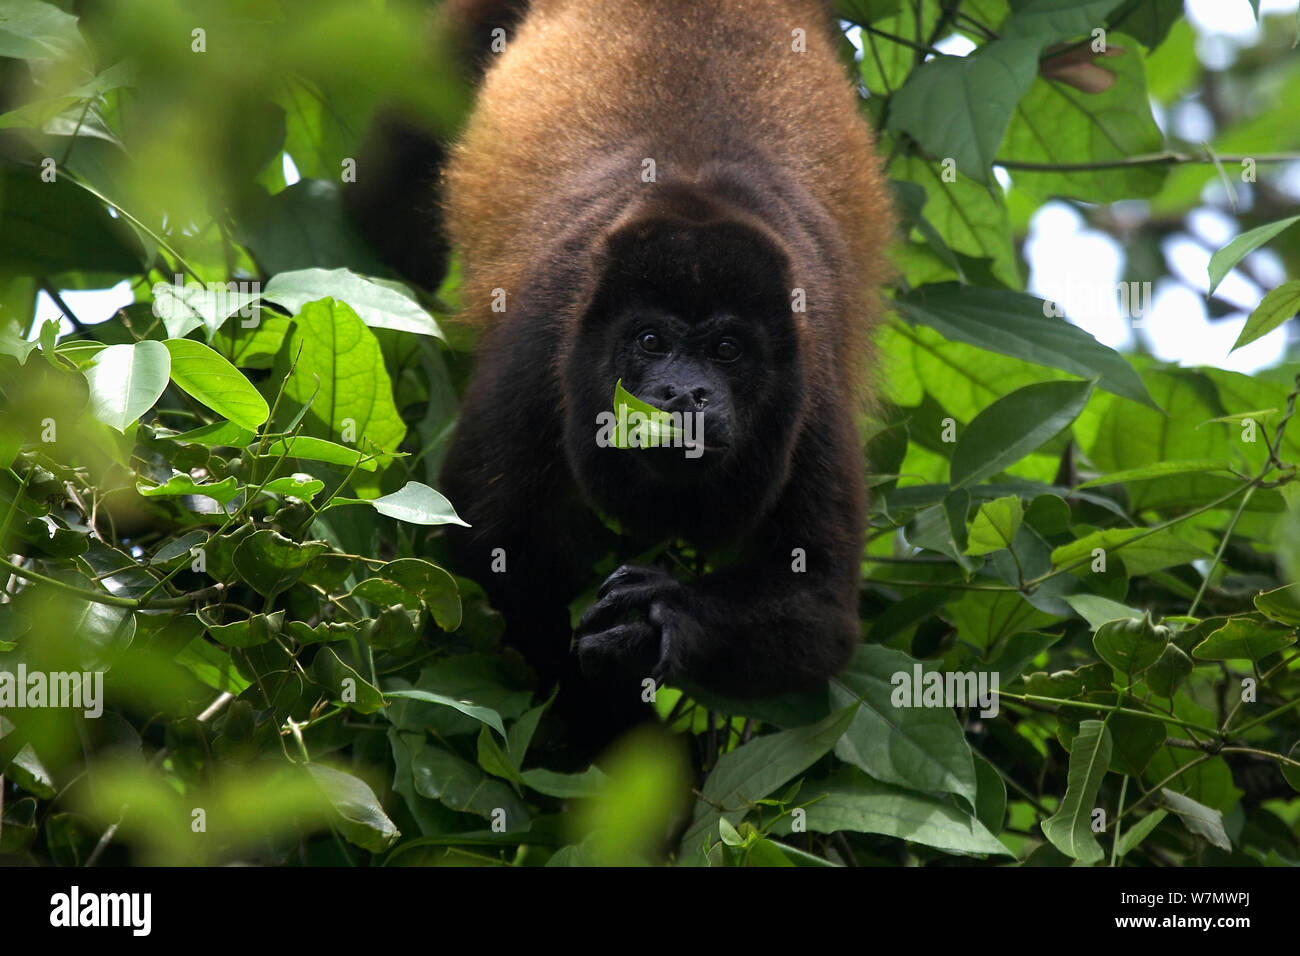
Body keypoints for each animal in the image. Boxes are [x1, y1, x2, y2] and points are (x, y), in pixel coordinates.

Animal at [348, 1, 894, 754]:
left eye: (727, 349)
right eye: (650, 341)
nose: (685, 392)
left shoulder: (813, 388)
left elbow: (818, 607)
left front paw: (658, 621)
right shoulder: (546, 337)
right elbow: (492, 543)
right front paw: (628, 735)